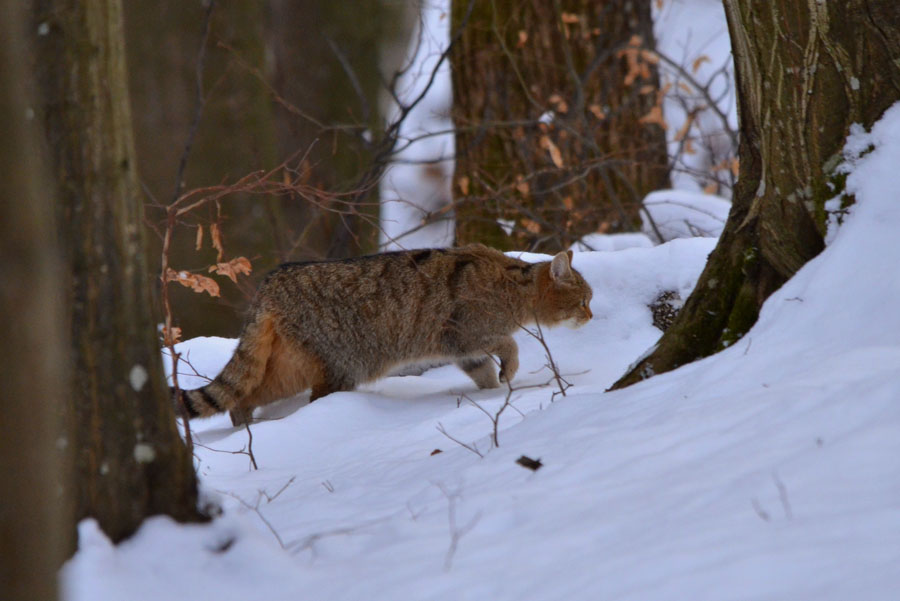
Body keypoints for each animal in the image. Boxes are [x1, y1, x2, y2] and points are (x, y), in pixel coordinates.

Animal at [175, 243, 592, 422]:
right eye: (584, 299)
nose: (591, 315)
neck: (514, 287)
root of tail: (272, 281)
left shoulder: (464, 351)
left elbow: (484, 372)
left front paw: (494, 395)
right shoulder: (465, 333)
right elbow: (509, 342)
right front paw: (511, 371)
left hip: (294, 363)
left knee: (247, 393)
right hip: (343, 362)